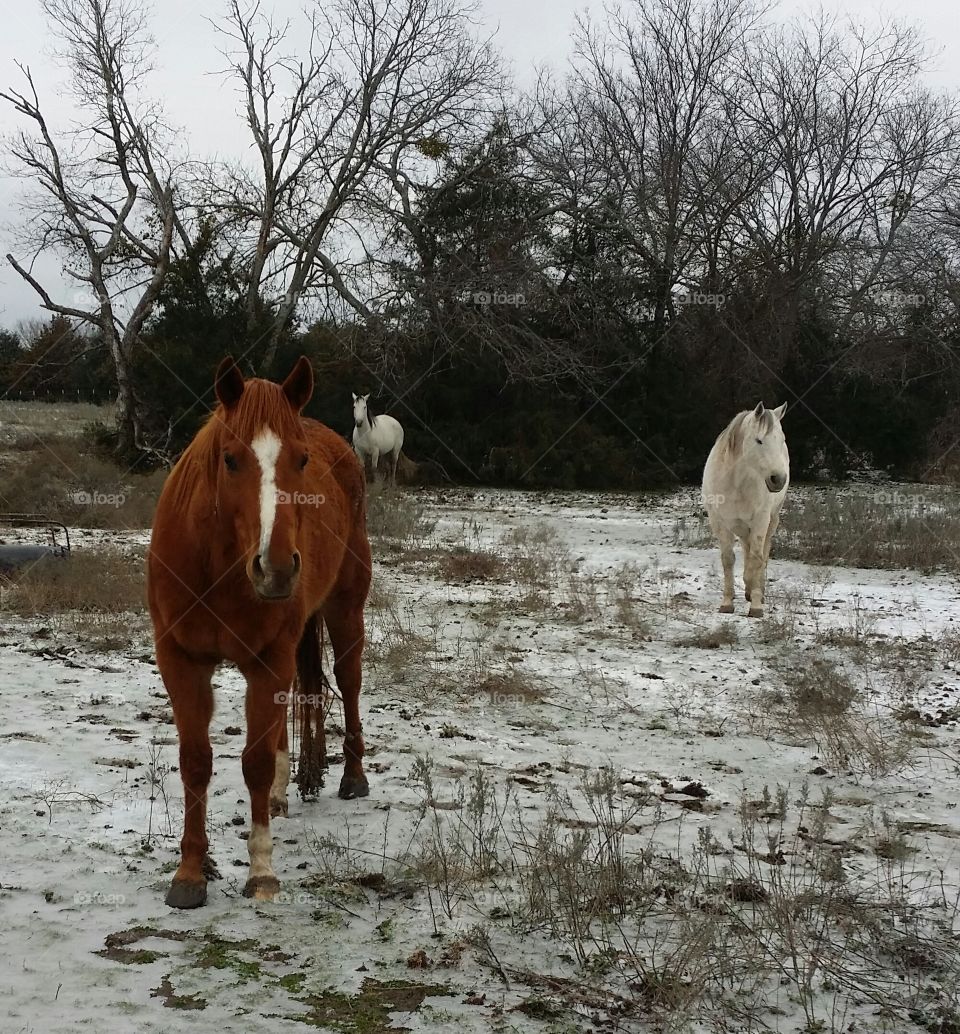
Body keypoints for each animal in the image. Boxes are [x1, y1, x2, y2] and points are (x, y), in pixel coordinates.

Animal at [145, 355, 370, 905]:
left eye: (302, 460)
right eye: (230, 460)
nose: (277, 569)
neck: (218, 566)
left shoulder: (267, 658)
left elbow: (255, 761)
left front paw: (262, 871)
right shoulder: (181, 660)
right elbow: (196, 760)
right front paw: (189, 873)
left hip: (345, 610)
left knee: (350, 681)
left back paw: (353, 776)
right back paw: (282, 796)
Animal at [699, 399, 790, 616]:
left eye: (782, 440)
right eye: (759, 441)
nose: (778, 479)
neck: (736, 482)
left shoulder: (760, 520)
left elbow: (757, 559)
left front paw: (756, 606)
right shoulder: (720, 522)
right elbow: (728, 559)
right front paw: (727, 603)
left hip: (771, 520)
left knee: (763, 552)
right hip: (740, 526)